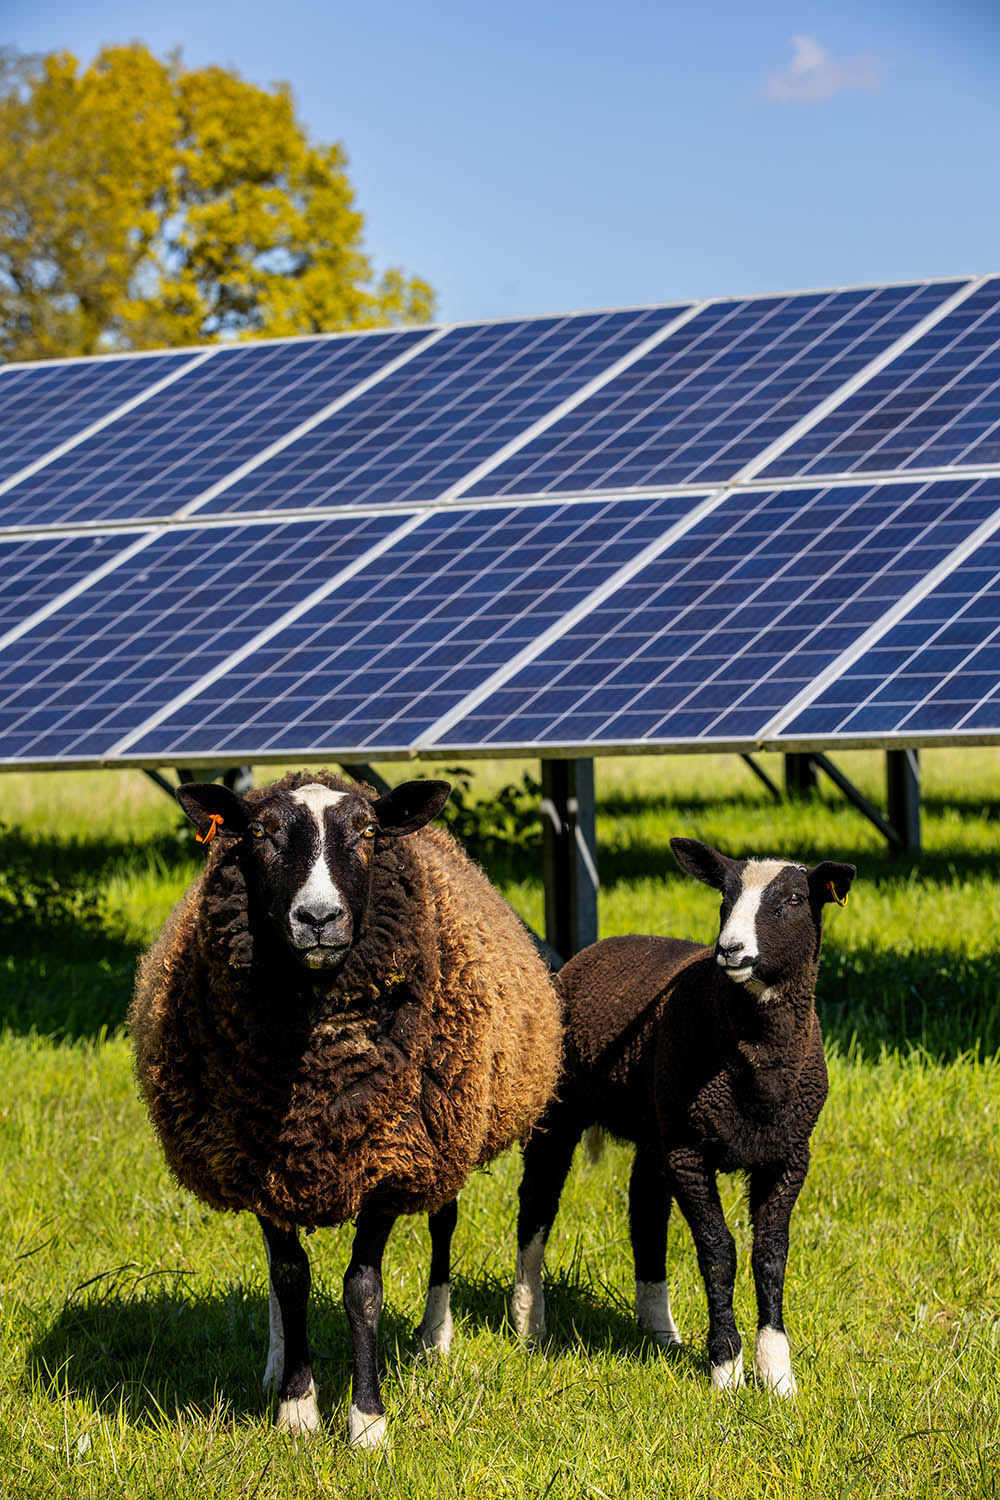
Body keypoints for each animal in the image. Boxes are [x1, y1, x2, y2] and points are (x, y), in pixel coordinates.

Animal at [128, 768, 560, 1446]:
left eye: (368, 832)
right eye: (258, 832)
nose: (318, 917)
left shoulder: (391, 1159)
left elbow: (363, 1289)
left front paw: (366, 1421)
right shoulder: (257, 1161)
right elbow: (290, 1277)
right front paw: (297, 1410)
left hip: (444, 1140)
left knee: (443, 1222)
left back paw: (435, 1337)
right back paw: (276, 1361)